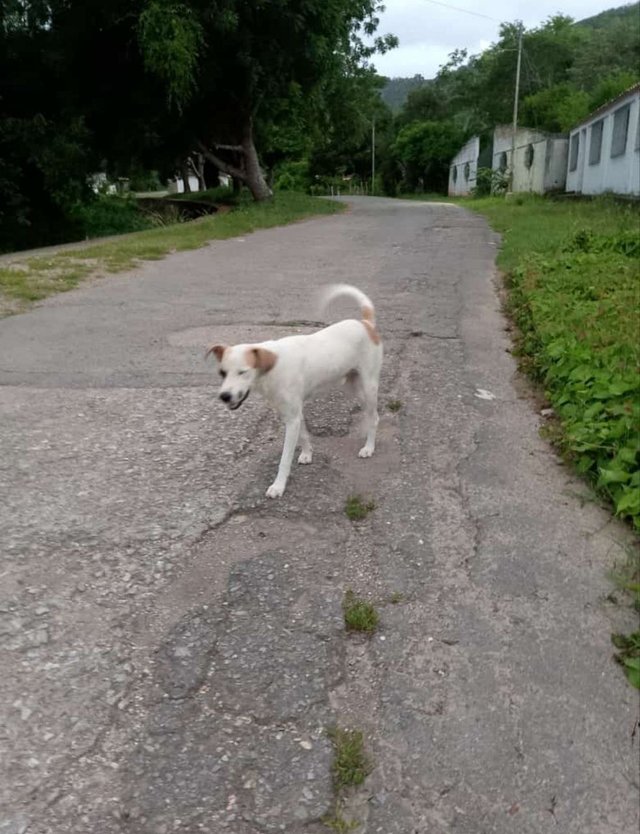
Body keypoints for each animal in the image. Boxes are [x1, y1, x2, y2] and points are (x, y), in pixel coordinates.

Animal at [208, 282, 382, 498]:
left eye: (243, 372)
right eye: (222, 373)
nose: (224, 396)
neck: (271, 367)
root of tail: (365, 323)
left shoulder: (291, 418)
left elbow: (284, 459)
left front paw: (278, 485)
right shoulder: (292, 414)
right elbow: (304, 435)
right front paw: (307, 454)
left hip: (369, 386)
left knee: (374, 417)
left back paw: (369, 447)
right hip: (353, 387)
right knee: (371, 414)